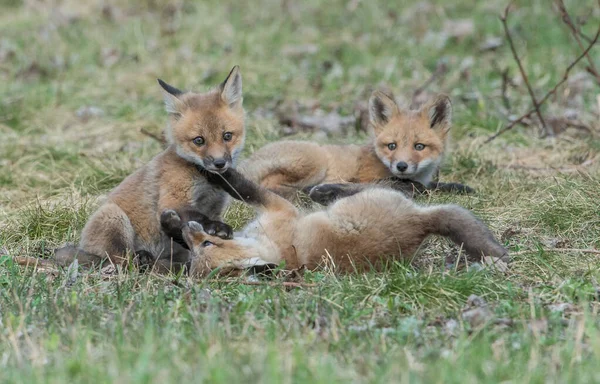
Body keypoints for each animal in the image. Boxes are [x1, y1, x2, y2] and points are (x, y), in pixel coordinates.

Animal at [52, 67, 245, 270]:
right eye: (199, 140)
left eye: (227, 136)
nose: (220, 163)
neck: (207, 183)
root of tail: (83, 247)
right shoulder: (172, 199)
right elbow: (198, 217)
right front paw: (218, 229)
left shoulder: (215, 208)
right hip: (114, 217)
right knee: (123, 261)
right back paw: (142, 258)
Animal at [159, 168, 506, 276]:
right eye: (197, 251)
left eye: (207, 243)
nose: (189, 230)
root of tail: (418, 224)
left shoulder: (278, 207)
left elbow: (241, 186)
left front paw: (216, 172)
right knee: (400, 187)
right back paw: (325, 190)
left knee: (401, 185)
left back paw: (324, 189)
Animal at [237, 91, 472, 202]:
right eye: (392, 146)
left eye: (419, 146)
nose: (401, 166)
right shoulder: (367, 178)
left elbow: (436, 185)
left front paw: (459, 187)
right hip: (317, 162)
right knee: (271, 187)